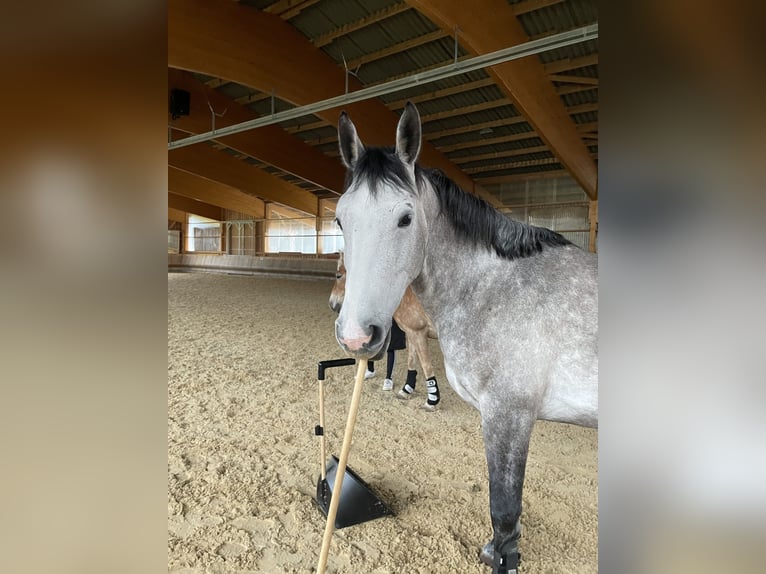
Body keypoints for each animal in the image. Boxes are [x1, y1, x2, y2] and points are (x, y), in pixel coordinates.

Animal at [328, 252, 440, 410]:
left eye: (338, 275)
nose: (332, 304)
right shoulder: (411, 332)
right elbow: (412, 361)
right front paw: (406, 390)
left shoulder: (419, 333)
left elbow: (426, 366)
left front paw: (432, 401)